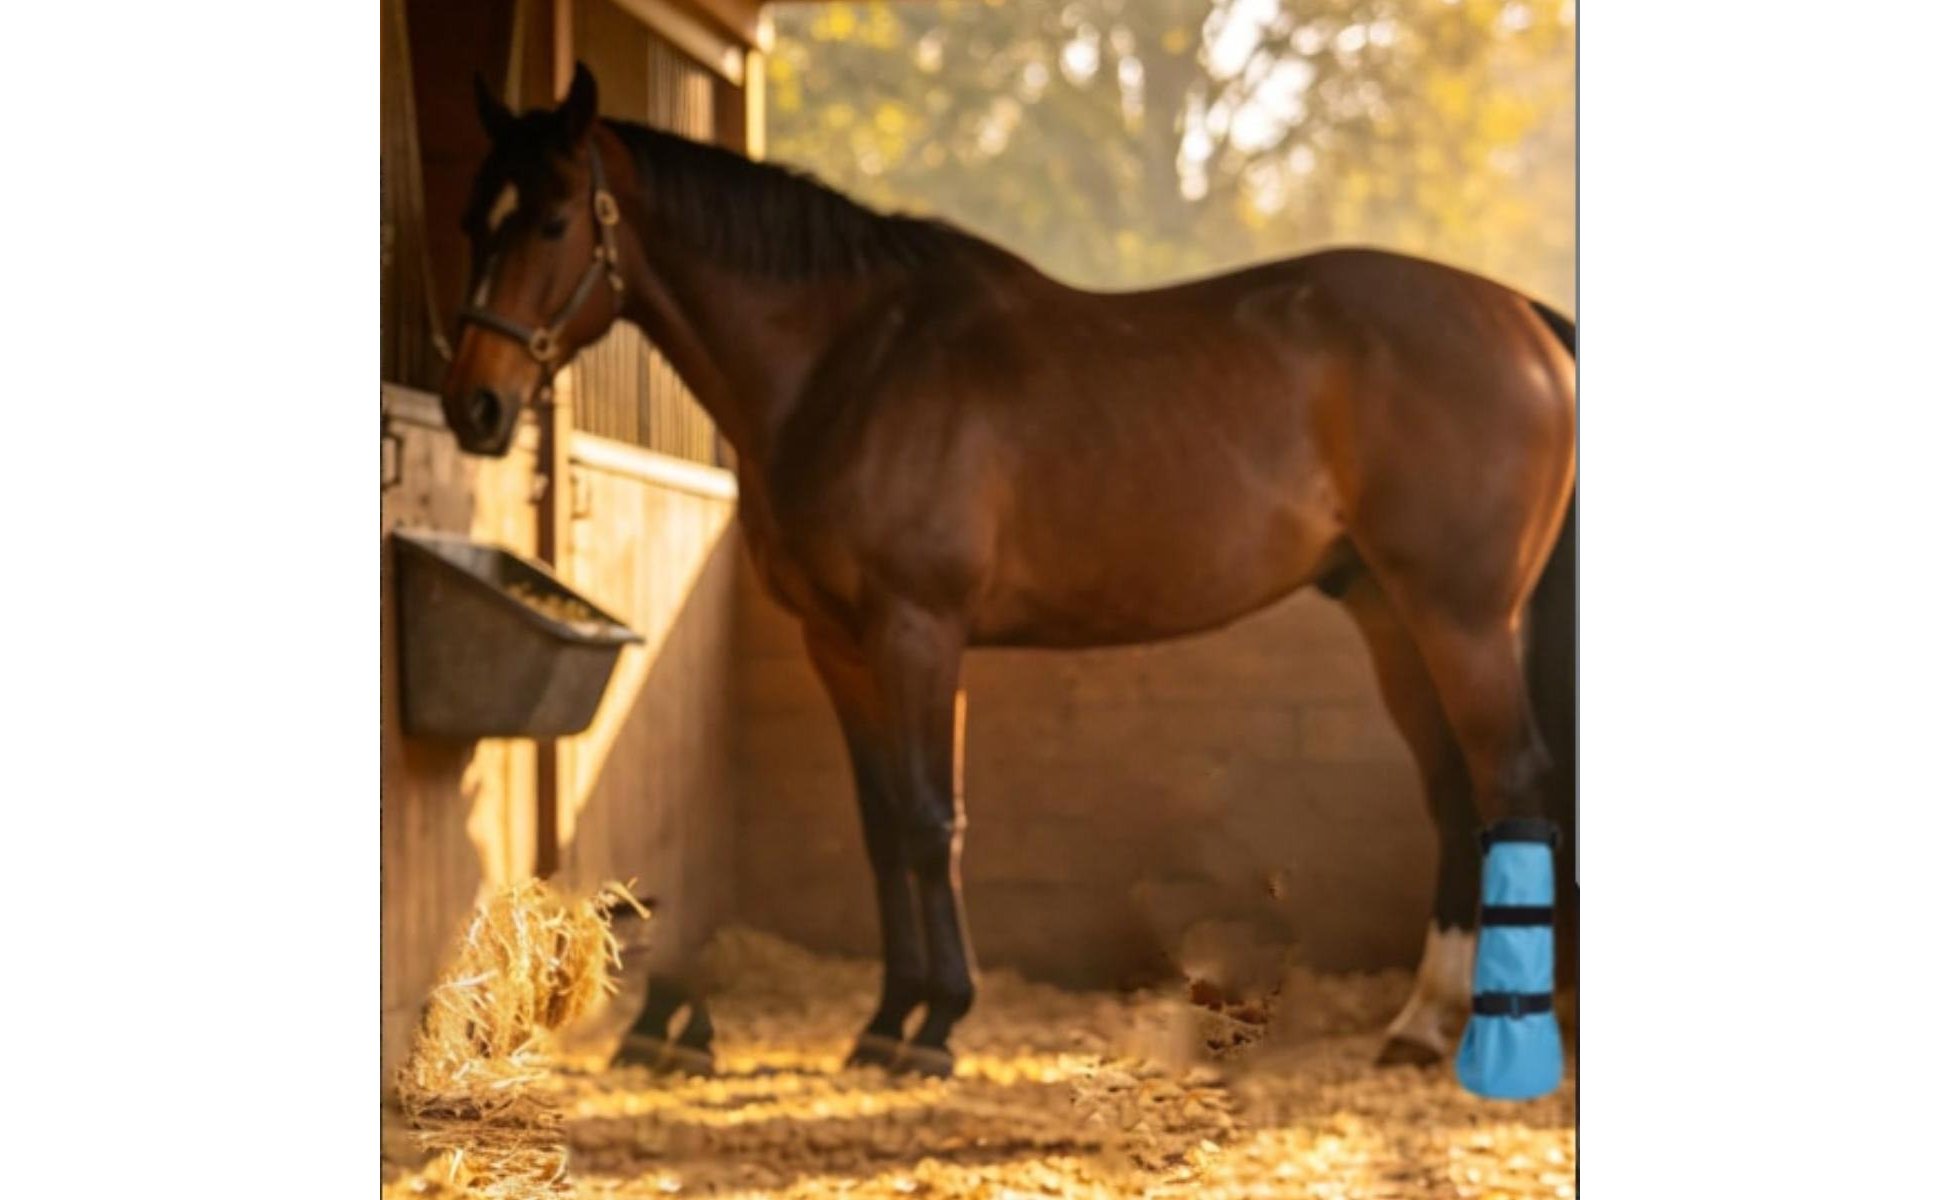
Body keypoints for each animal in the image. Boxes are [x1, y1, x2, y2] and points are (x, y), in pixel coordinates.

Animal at [441, 66, 1577, 1077]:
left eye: (552, 222)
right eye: (473, 222)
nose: (474, 408)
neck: (848, 366)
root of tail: (1522, 320)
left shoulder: (917, 630)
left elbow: (926, 818)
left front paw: (936, 1026)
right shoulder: (836, 642)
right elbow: (880, 828)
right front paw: (884, 1022)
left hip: (1459, 616)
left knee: (1509, 780)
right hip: (1389, 612)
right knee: (1453, 794)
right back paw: (1421, 1023)